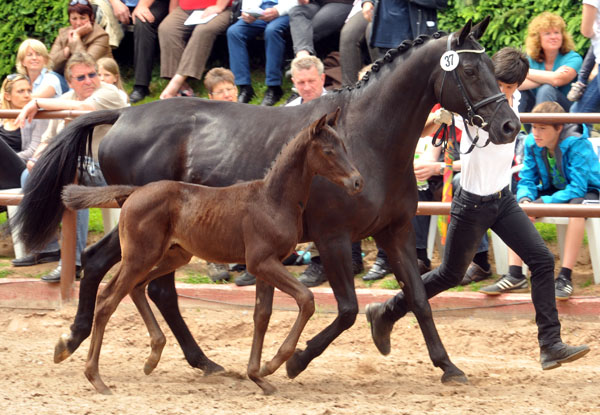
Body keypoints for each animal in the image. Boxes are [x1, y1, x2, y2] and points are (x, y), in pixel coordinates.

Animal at [61, 109, 364, 396]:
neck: (273, 200)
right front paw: (275, 364)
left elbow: (262, 315)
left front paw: (258, 376)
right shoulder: (261, 263)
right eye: (328, 151)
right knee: (108, 299)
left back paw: (153, 356)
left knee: (137, 288)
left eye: (344, 146)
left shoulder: (267, 265)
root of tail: (133, 193)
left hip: (172, 255)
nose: (357, 182)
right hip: (140, 256)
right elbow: (306, 299)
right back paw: (96, 377)